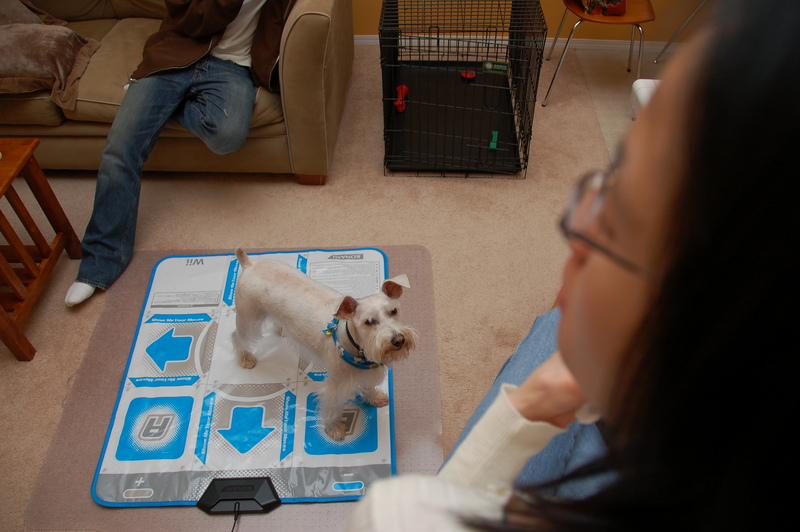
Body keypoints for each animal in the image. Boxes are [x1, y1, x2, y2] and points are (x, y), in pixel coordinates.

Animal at [231, 248, 419, 441]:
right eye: (368, 322)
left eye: (394, 311)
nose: (399, 340)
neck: (356, 350)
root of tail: (250, 264)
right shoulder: (335, 387)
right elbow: (332, 408)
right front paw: (334, 428)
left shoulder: (368, 375)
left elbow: (368, 387)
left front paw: (374, 397)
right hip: (248, 321)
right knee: (238, 337)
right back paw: (246, 358)